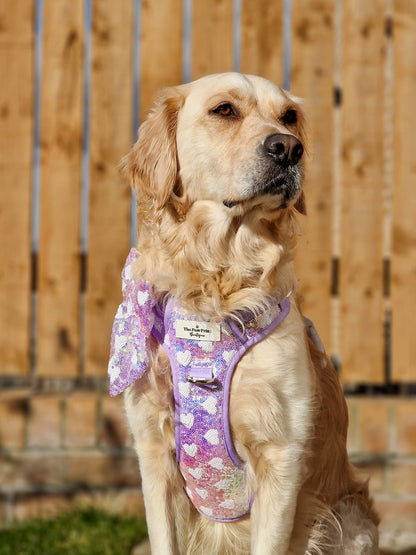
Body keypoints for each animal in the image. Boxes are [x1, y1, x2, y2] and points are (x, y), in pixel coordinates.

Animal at [112, 71, 378, 552]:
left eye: (288, 116)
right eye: (224, 110)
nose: (289, 148)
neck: (217, 287)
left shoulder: (280, 458)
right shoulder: (154, 455)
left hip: (352, 521)